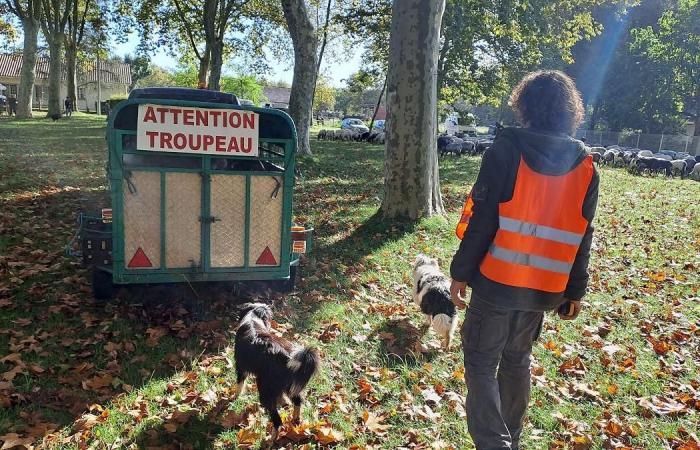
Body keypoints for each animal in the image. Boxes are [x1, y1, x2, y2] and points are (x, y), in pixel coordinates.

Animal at [235, 304, 322, 442]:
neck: (253, 318)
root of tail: (286, 356)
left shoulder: (240, 367)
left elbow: (239, 385)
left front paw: (235, 397)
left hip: (265, 391)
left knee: (277, 420)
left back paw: (271, 439)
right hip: (290, 386)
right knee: (298, 401)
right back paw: (295, 419)